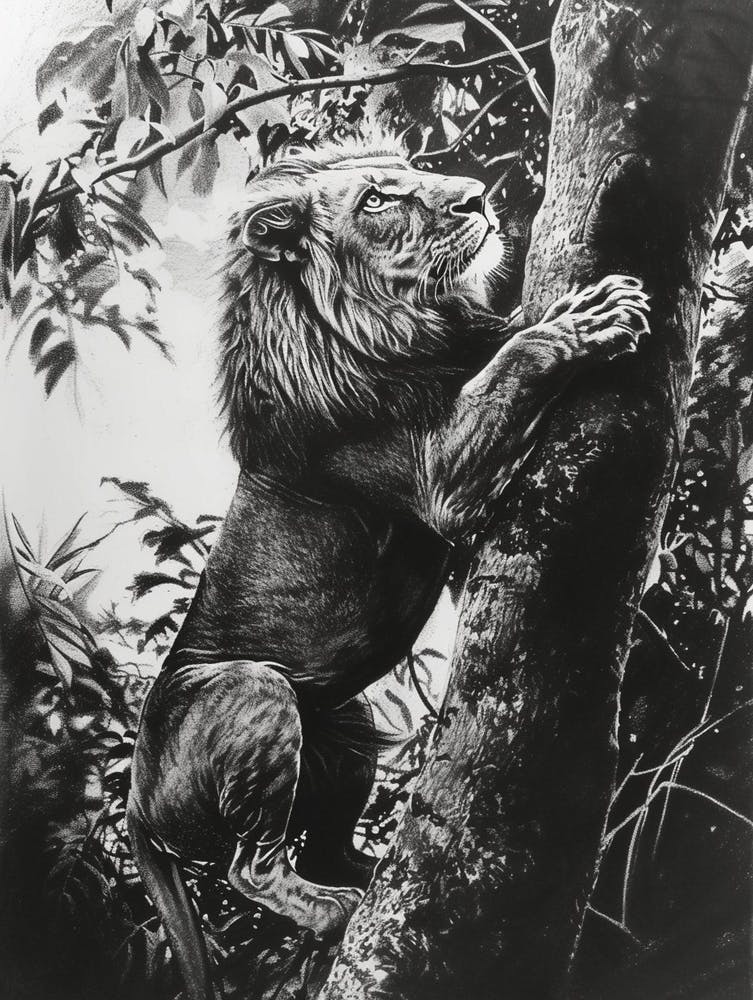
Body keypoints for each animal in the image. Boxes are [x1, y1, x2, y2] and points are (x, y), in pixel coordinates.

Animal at [126, 134, 649, 1000]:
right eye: (376, 199)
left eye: (413, 172)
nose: (476, 196)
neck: (398, 329)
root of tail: (135, 809)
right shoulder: (436, 476)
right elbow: (515, 358)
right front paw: (586, 319)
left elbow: (501, 339)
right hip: (249, 689)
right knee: (248, 867)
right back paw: (335, 910)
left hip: (346, 725)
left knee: (324, 842)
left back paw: (368, 874)